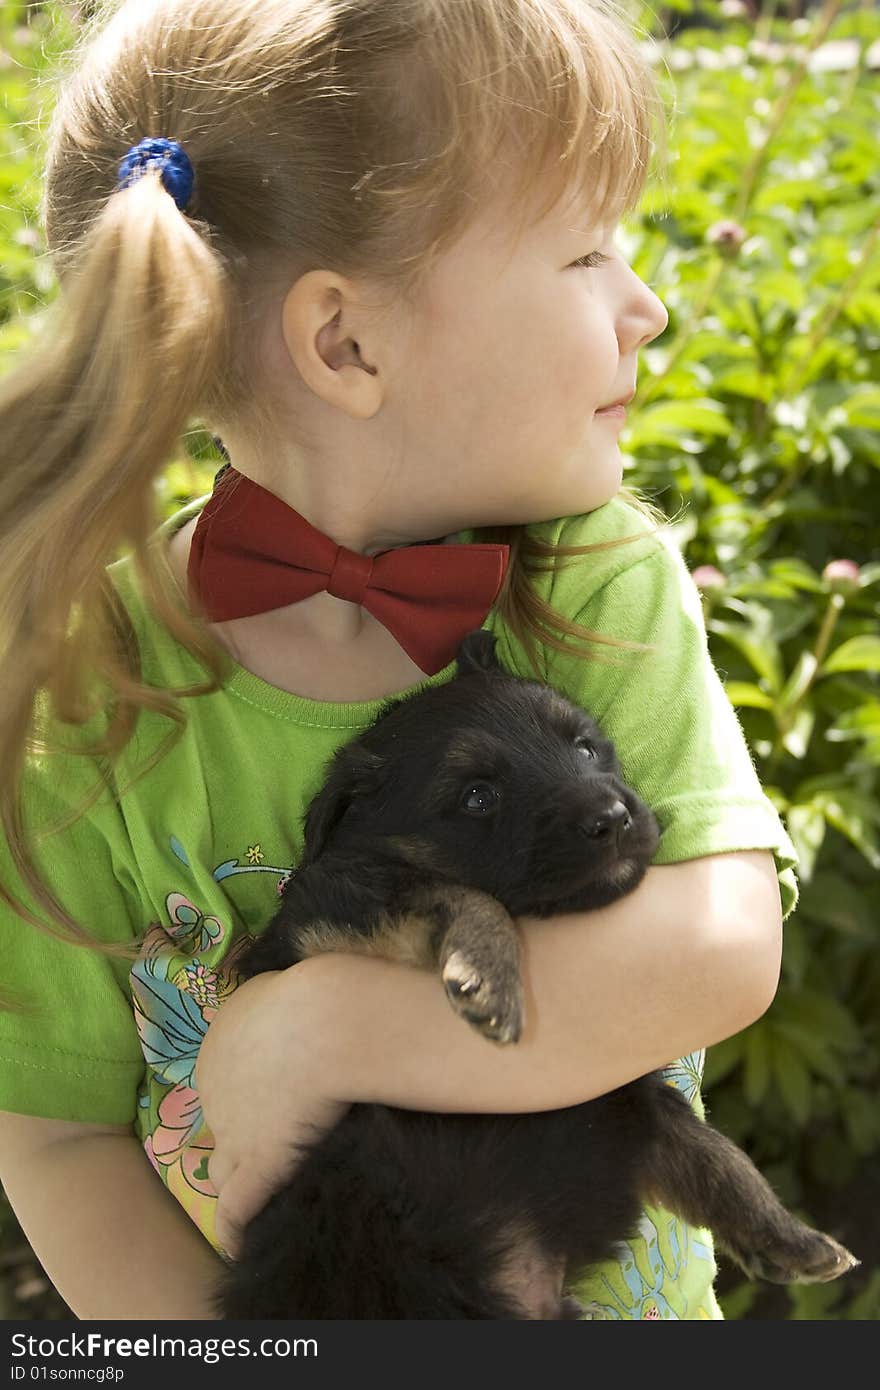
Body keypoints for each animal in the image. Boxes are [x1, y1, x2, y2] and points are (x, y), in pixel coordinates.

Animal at [216, 631, 856, 1312]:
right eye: (478, 797)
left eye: (585, 746)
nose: (615, 817)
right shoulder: (325, 920)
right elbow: (450, 890)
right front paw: (487, 973)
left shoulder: (623, 1100)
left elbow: (714, 1154)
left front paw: (790, 1238)